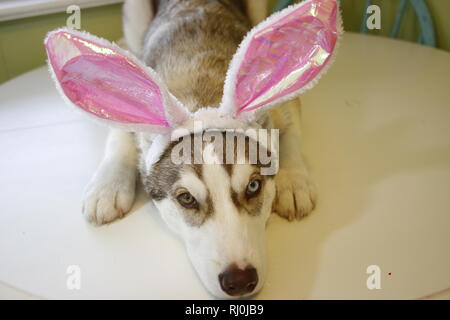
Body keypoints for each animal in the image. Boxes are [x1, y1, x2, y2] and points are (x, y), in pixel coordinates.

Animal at [45, 0, 342, 298]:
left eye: (253, 186)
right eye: (186, 199)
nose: (239, 281)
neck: (202, 92)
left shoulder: (281, 100)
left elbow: (290, 129)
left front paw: (293, 181)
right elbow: (119, 131)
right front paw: (108, 186)